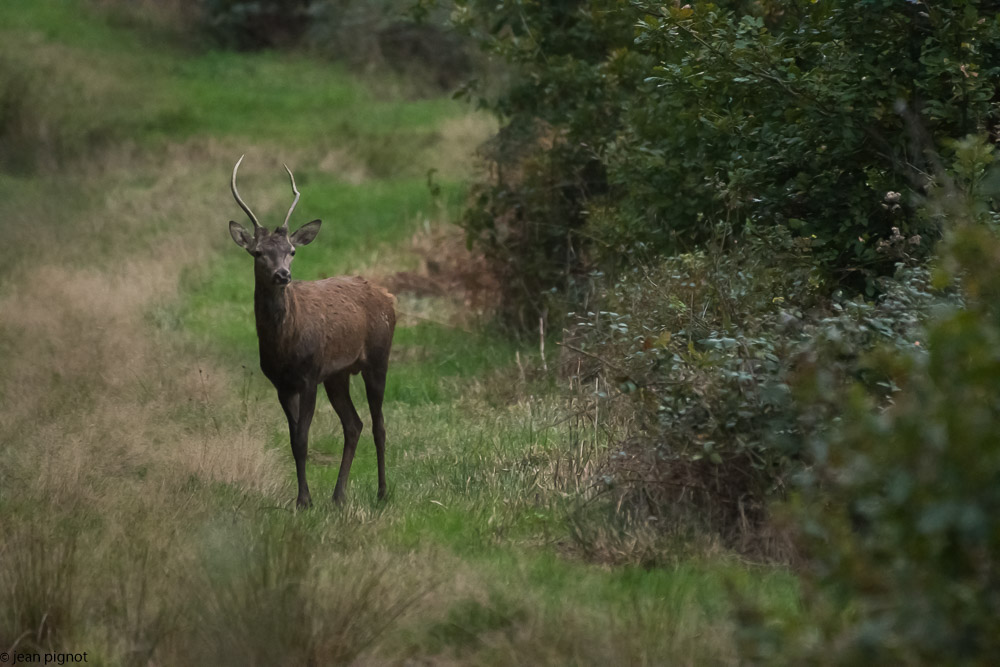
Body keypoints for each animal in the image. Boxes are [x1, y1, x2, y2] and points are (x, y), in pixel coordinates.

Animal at [229, 155, 396, 506]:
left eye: (292, 251)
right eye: (258, 252)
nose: (282, 275)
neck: (284, 345)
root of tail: (389, 297)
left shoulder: (309, 375)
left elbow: (303, 438)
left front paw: (305, 500)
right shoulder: (281, 383)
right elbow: (294, 440)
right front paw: (302, 498)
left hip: (378, 357)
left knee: (379, 425)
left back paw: (382, 492)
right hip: (338, 374)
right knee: (354, 424)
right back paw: (338, 495)